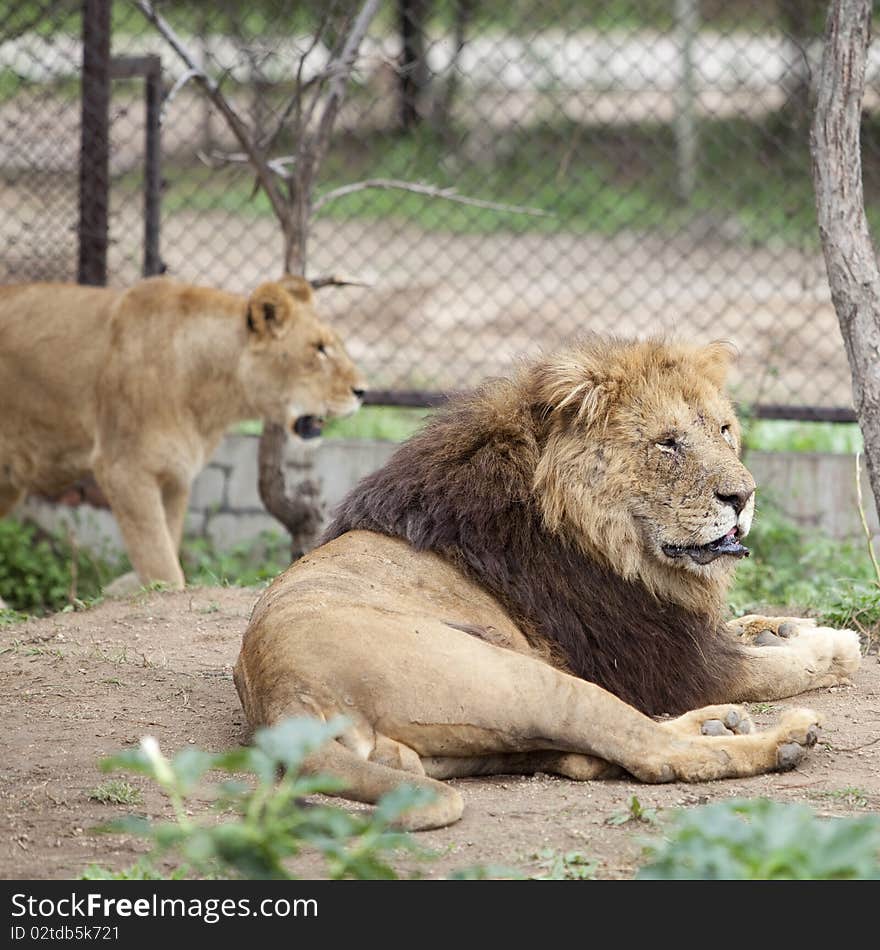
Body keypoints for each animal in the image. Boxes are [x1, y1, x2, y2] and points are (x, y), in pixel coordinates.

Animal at [0, 278, 364, 604]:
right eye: (318, 349)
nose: (363, 391)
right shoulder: (123, 469)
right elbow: (160, 561)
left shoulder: (176, 476)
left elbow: (168, 540)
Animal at [234, 338, 860, 828]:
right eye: (668, 442)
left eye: (725, 429)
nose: (743, 496)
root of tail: (281, 695)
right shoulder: (672, 664)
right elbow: (781, 670)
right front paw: (831, 646)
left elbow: (747, 630)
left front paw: (782, 626)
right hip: (526, 682)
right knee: (652, 751)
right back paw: (780, 739)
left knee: (590, 755)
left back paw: (715, 724)